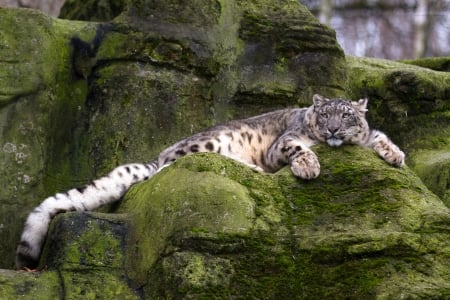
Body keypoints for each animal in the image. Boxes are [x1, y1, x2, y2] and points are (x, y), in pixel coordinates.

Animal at [15, 94, 406, 270]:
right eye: (324, 116)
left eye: (347, 116)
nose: (334, 131)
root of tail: (162, 151)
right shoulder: (282, 144)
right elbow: (297, 146)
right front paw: (309, 165)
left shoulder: (366, 137)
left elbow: (379, 136)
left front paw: (396, 155)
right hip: (205, 145)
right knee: (170, 168)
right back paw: (248, 168)